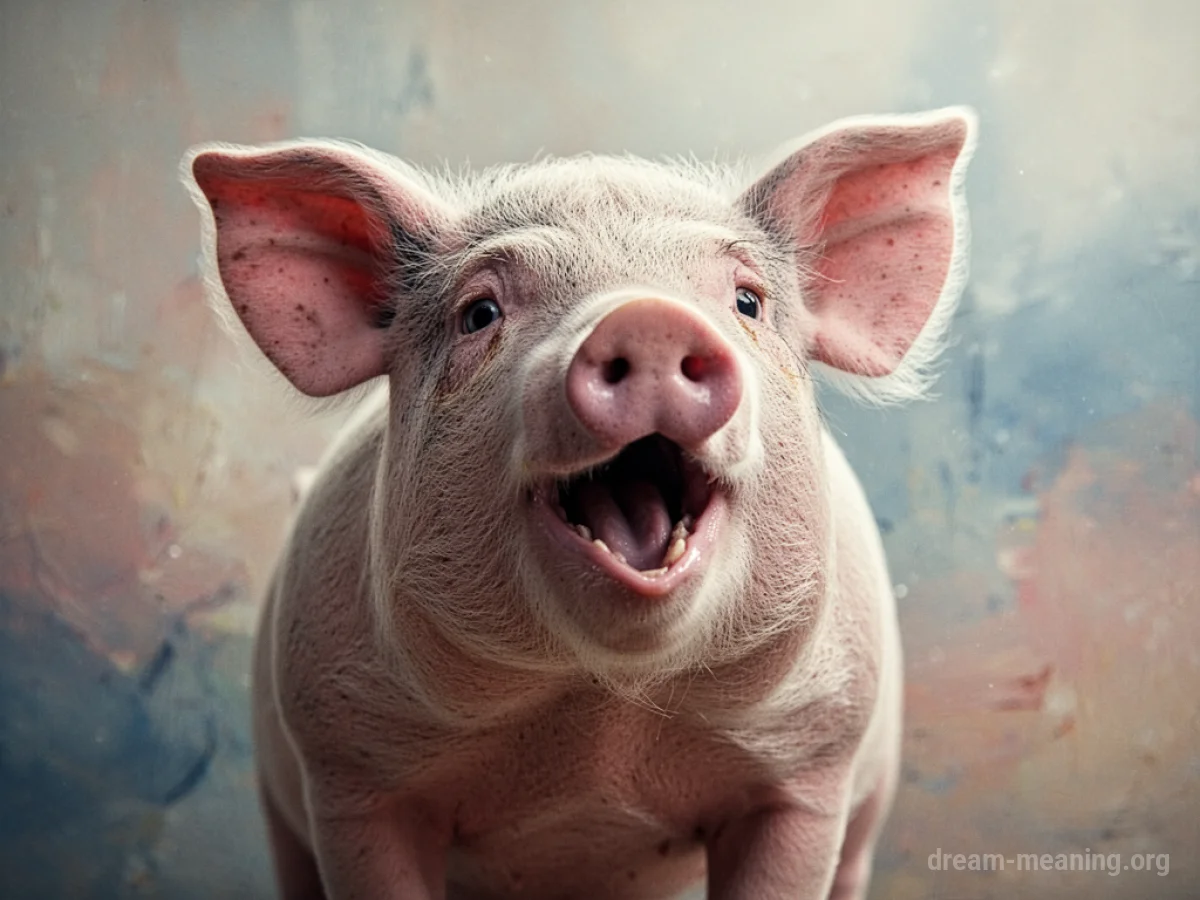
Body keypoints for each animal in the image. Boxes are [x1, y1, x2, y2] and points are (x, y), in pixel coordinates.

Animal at [183, 106, 976, 900]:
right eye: (480, 313)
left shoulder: (811, 765)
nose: (647, 317)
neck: (601, 720)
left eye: (747, 301)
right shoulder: (348, 766)